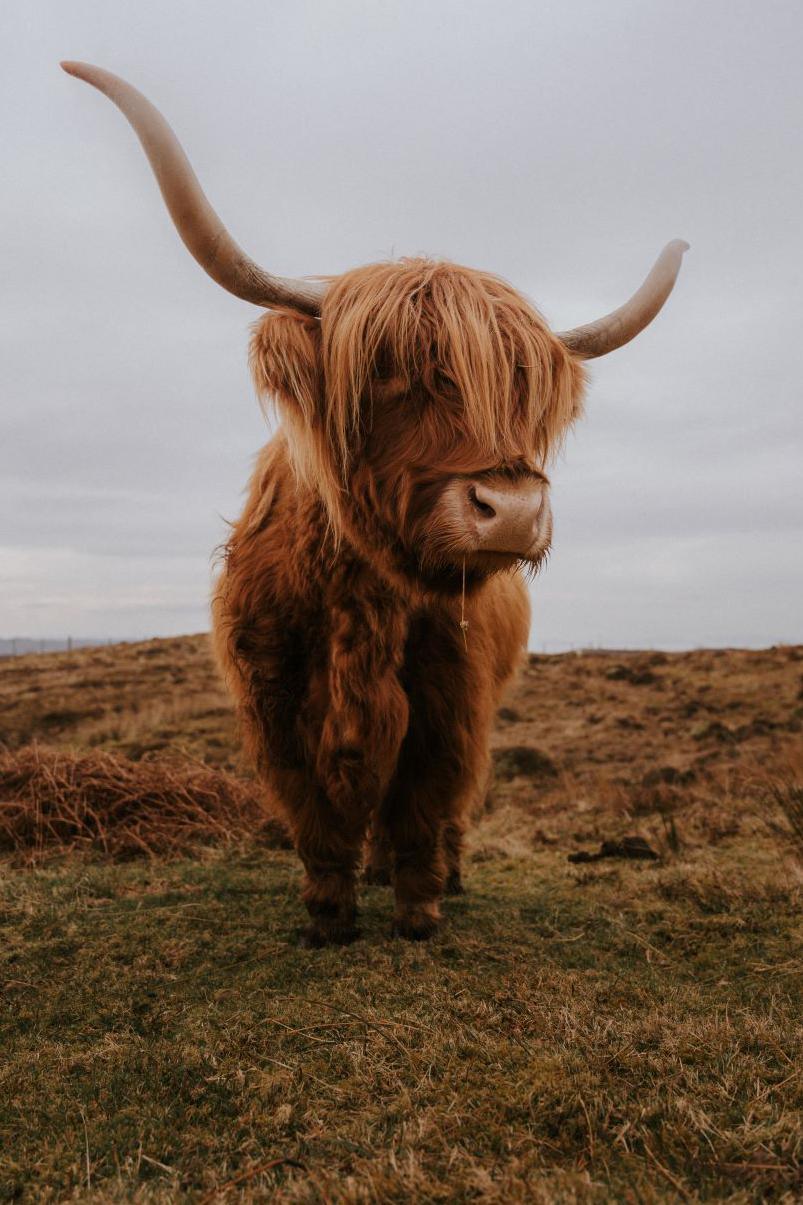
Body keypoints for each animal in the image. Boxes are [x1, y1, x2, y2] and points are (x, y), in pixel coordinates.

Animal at [64, 61, 689, 944]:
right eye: (389, 372)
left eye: (520, 391)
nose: (511, 507)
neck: (359, 602)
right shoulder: (271, 698)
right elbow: (313, 813)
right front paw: (329, 912)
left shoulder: (452, 700)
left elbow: (425, 801)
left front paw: (420, 908)